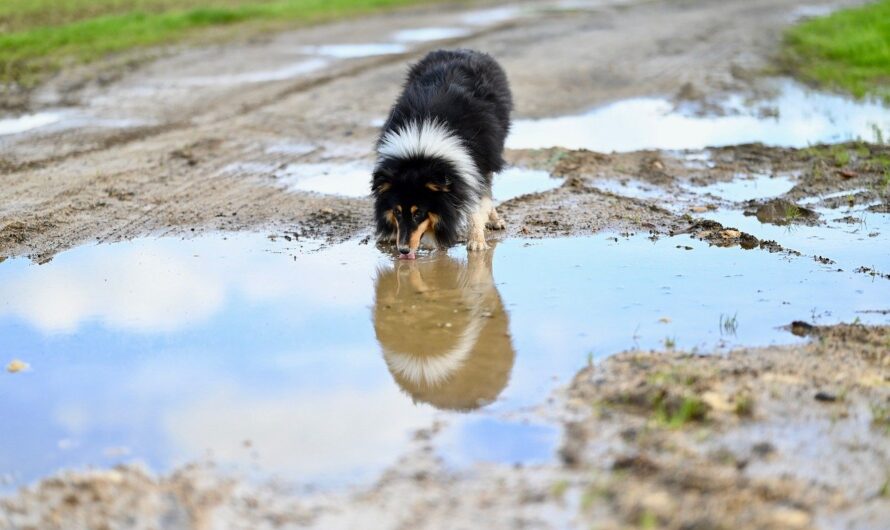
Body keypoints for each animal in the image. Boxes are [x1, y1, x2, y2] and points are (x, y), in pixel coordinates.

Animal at [370, 48, 510, 258]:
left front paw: (476, 242)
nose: (403, 250)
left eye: (418, 213)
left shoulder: (477, 162)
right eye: (397, 212)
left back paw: (494, 221)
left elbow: (477, 203)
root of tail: (462, 50)